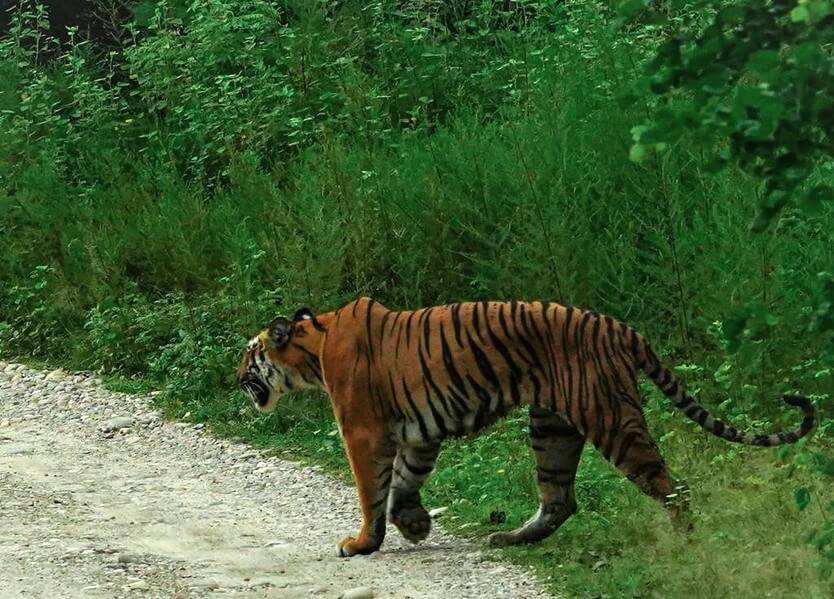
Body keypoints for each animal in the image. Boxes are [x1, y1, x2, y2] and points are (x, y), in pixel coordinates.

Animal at [237, 297, 814, 557]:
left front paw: (362, 543)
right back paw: (510, 537)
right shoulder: (420, 433)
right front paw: (416, 526)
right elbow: (403, 483)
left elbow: (370, 491)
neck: (313, 349)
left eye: (249, 355)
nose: (235, 378)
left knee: (672, 486)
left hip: (610, 417)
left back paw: (684, 543)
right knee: (560, 499)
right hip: (552, 425)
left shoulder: (363, 432)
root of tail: (620, 327)